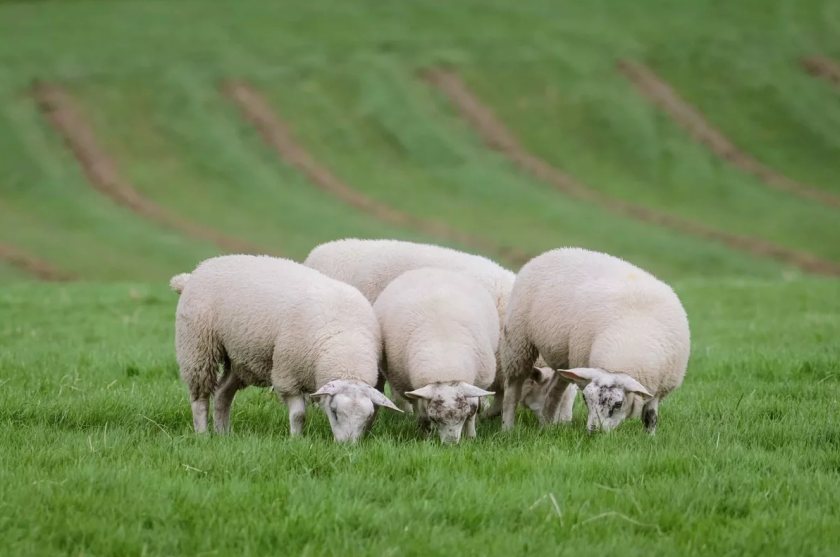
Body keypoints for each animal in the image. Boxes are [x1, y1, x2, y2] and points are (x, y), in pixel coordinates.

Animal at [172, 255, 401, 442]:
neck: (346, 344)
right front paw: (296, 440)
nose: (347, 447)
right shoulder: (287, 373)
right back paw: (203, 434)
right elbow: (299, 414)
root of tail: (197, 271)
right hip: (197, 345)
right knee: (200, 398)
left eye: (367, 418)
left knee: (222, 393)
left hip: (240, 357)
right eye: (334, 412)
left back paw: (223, 434)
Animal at [373, 268, 497, 443]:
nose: (451, 444)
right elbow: (422, 415)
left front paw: (471, 436)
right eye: (436, 418)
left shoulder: (476, 382)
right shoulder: (413, 390)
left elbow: (473, 410)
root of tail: (427, 269)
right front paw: (425, 436)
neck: (445, 361)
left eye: (462, 416)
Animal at [501, 248, 690, 433]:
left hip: (565, 359)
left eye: (618, 404)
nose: (594, 431)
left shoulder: (658, 390)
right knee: (513, 387)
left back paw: (547, 425)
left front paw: (649, 437)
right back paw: (508, 427)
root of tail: (552, 251)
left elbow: (650, 417)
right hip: (519, 340)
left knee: (554, 391)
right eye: (585, 399)